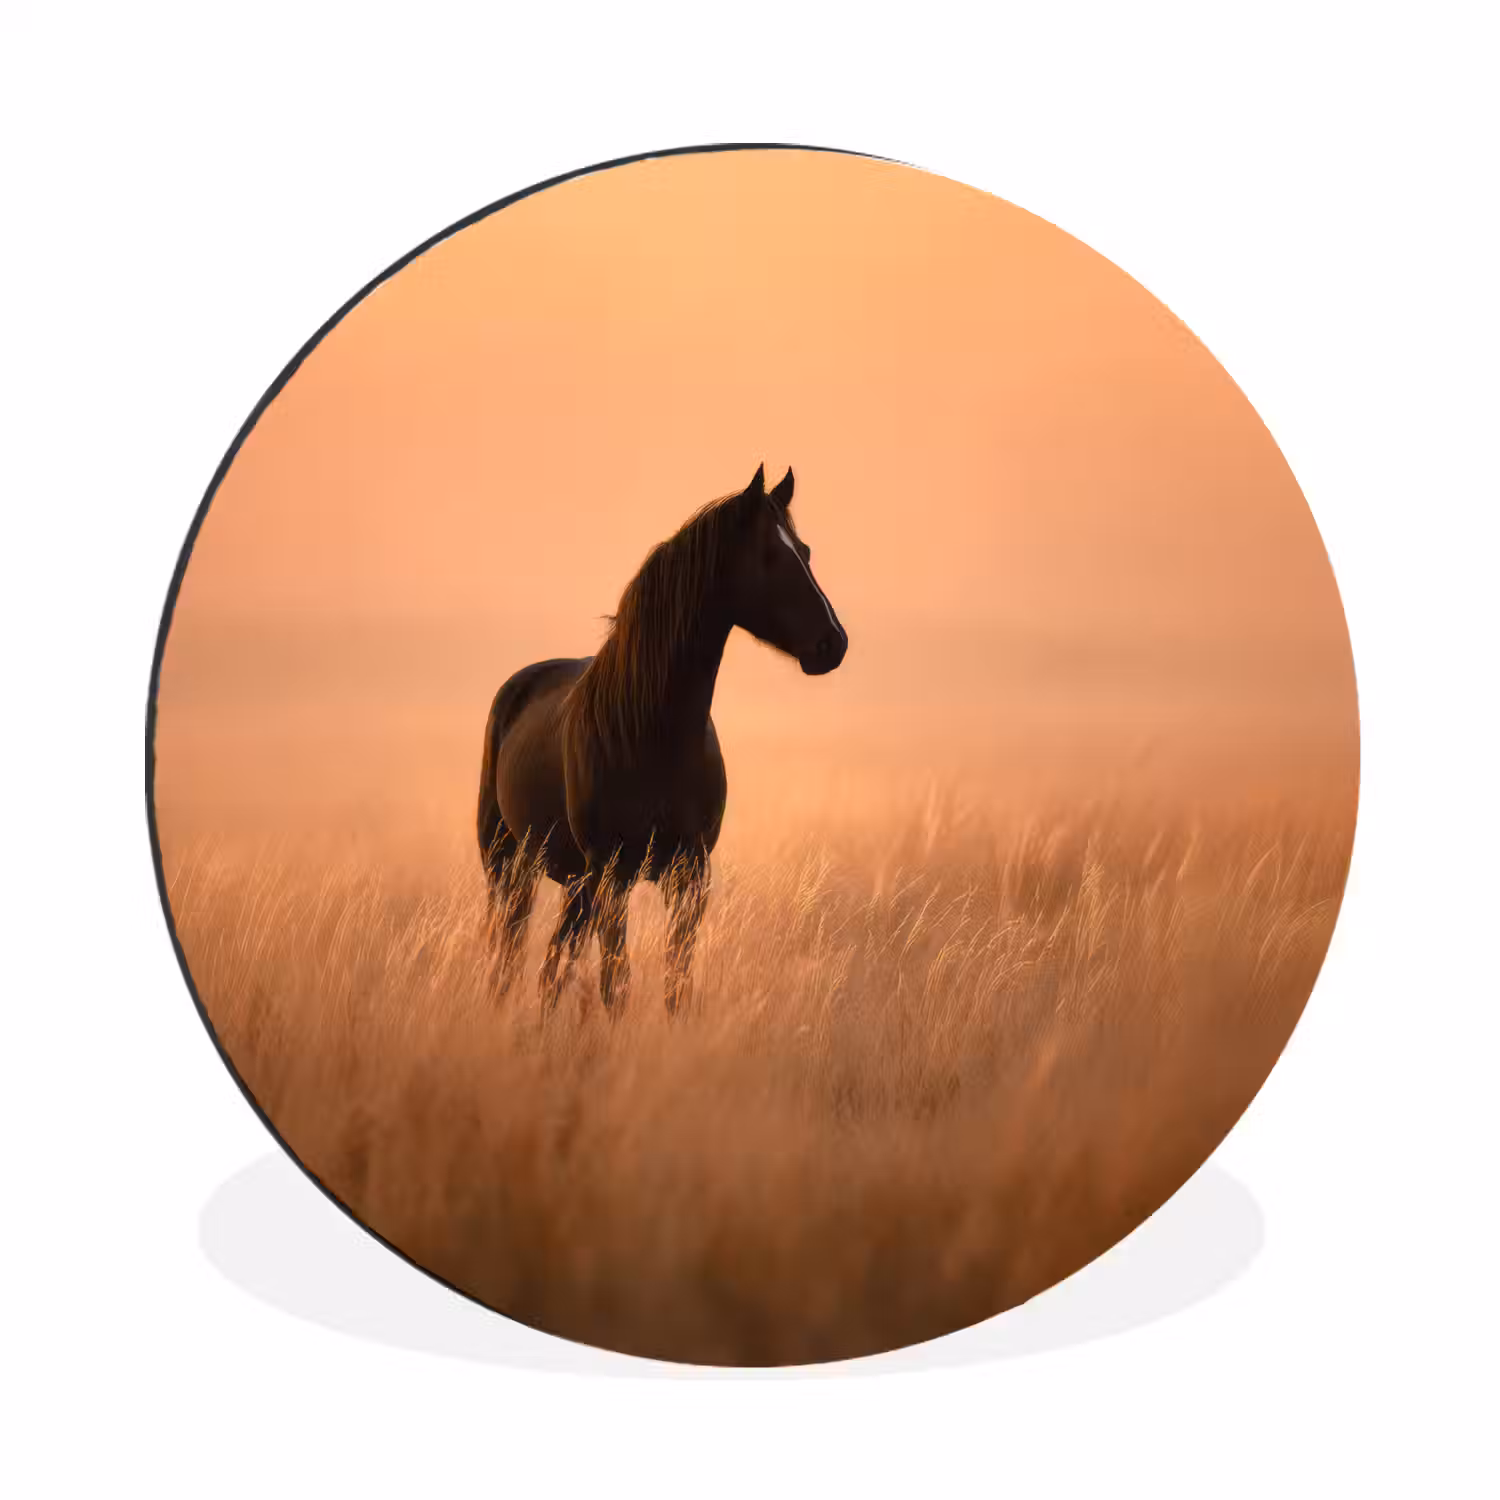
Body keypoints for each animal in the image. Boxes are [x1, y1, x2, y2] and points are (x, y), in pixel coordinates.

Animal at [475, 462, 848, 1017]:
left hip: (572, 882)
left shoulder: (689, 875)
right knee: (511, 958)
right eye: (769, 555)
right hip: (512, 866)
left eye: (804, 551)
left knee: (551, 967)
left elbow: (677, 984)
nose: (833, 643)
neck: (652, 733)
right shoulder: (613, 875)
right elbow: (616, 984)